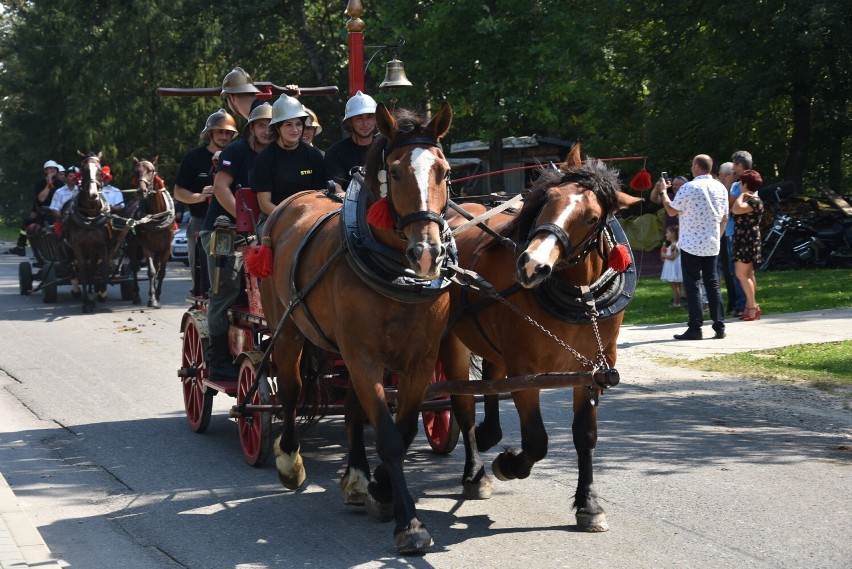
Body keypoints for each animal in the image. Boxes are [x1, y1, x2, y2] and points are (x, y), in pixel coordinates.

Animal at [62, 149, 114, 312]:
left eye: (100, 170)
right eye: (84, 169)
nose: (93, 194)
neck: (90, 216)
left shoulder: (102, 245)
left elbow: (103, 270)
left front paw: (101, 294)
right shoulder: (78, 247)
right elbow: (83, 272)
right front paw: (86, 302)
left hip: (92, 250)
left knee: (91, 269)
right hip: (67, 248)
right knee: (71, 267)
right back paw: (77, 290)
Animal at [125, 155, 175, 306]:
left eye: (151, 170)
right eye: (136, 171)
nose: (142, 190)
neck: (156, 214)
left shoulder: (166, 246)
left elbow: (161, 272)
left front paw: (156, 295)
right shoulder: (146, 246)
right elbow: (151, 271)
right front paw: (152, 299)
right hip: (133, 246)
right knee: (134, 267)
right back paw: (136, 296)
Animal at [260, 100, 456, 552]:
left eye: (444, 171)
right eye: (395, 173)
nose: (427, 252)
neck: (397, 275)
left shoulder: (419, 360)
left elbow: (401, 428)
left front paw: (380, 489)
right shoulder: (364, 356)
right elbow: (387, 436)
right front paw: (409, 523)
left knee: (350, 406)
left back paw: (356, 477)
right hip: (288, 328)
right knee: (292, 390)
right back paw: (289, 459)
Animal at [440, 143, 640, 532]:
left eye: (592, 218)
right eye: (547, 199)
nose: (532, 265)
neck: (581, 297)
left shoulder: (591, 372)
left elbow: (585, 436)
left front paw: (588, 504)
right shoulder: (525, 374)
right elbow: (537, 441)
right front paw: (507, 465)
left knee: (489, 381)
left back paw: (489, 434)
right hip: (452, 343)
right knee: (462, 404)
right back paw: (475, 473)